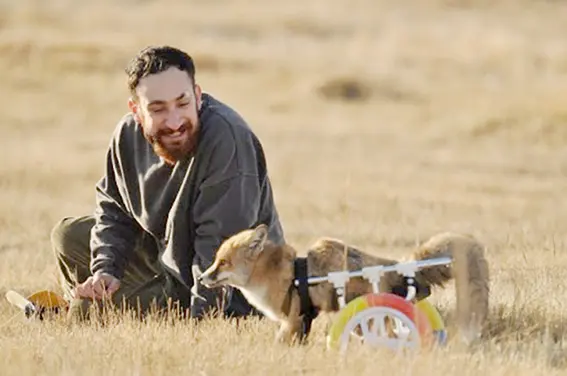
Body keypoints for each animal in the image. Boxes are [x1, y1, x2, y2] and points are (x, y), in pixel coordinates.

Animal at [197, 223, 490, 346]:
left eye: (223, 263)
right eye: (216, 261)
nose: (201, 278)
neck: (284, 274)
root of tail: (401, 264)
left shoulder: (293, 318)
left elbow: (280, 343)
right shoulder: (303, 320)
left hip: (371, 313)